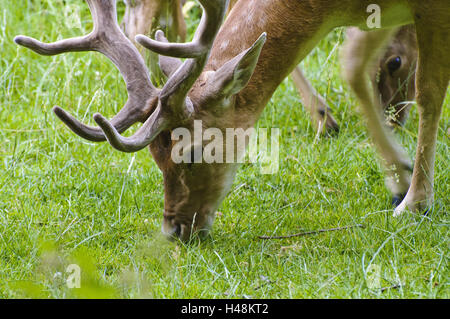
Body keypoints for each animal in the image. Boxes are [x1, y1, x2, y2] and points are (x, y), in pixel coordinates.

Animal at [14, 0, 446, 241]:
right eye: (155, 157)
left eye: (192, 152)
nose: (174, 230)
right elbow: (355, 66)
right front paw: (399, 177)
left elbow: (427, 90)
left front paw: (415, 202)